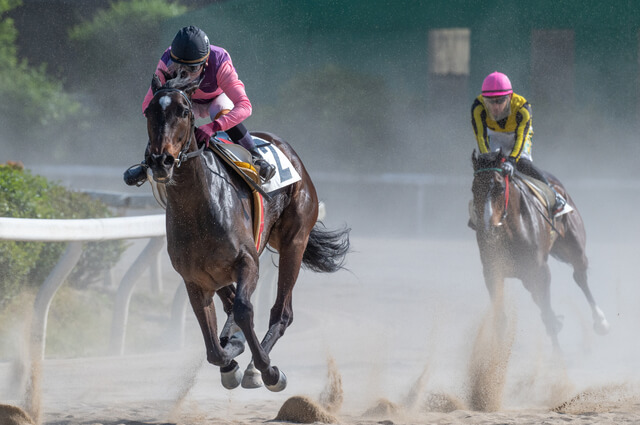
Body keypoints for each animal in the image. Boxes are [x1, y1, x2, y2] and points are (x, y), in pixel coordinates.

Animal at [144, 75, 350, 390]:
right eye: (149, 112)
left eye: (184, 111)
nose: (160, 161)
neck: (199, 208)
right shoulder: (194, 279)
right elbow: (214, 348)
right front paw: (230, 357)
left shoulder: (247, 261)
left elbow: (243, 309)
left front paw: (266, 368)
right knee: (233, 306)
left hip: (295, 241)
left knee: (281, 312)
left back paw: (257, 365)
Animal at [470, 149, 608, 348]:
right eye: (474, 189)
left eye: (500, 188)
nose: (490, 230)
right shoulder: (492, 271)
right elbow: (501, 320)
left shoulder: (540, 270)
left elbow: (548, 316)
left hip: (574, 245)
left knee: (580, 276)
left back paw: (601, 321)